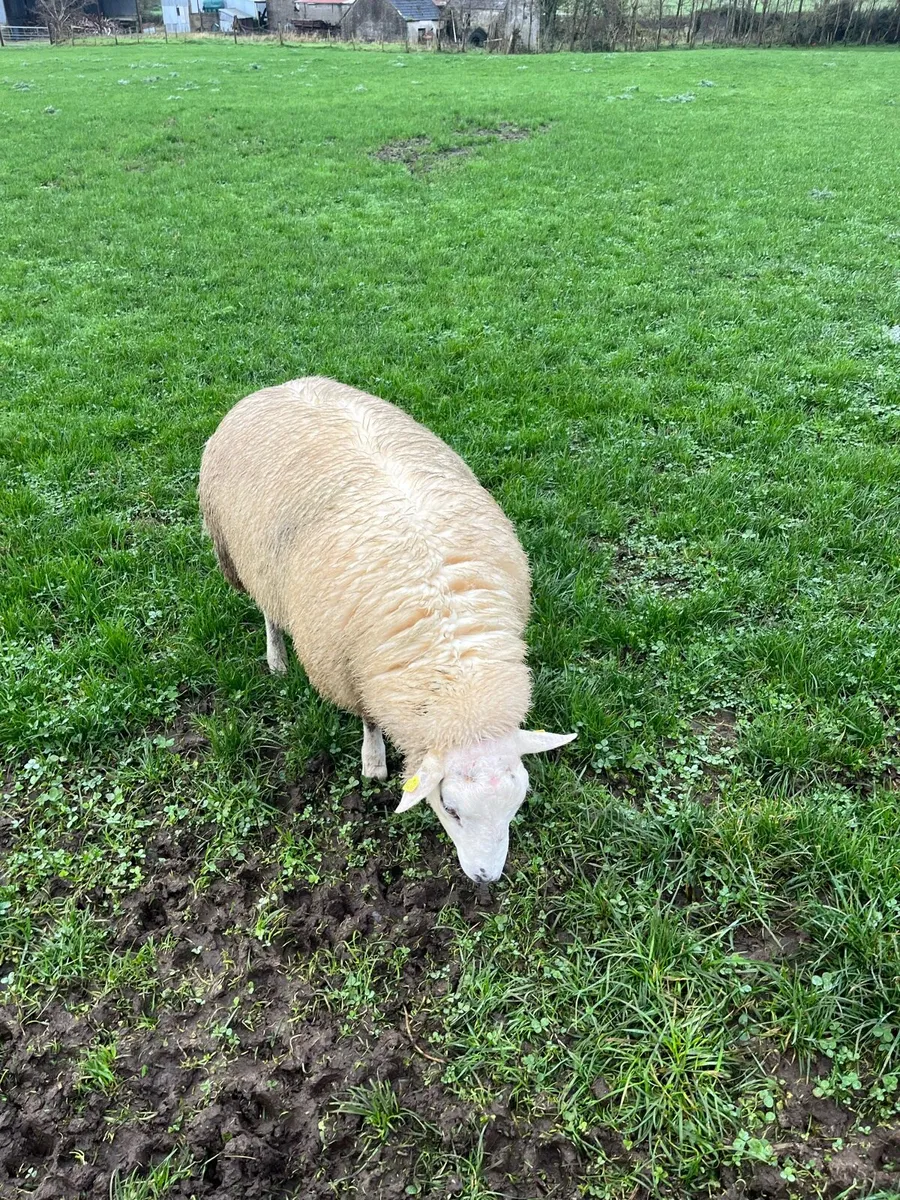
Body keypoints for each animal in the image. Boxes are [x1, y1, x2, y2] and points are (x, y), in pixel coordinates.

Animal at [198, 377, 575, 883]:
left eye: (515, 806)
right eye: (451, 809)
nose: (487, 878)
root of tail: (282, 384)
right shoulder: (350, 667)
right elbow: (371, 720)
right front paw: (373, 762)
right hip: (244, 556)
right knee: (270, 614)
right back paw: (276, 660)